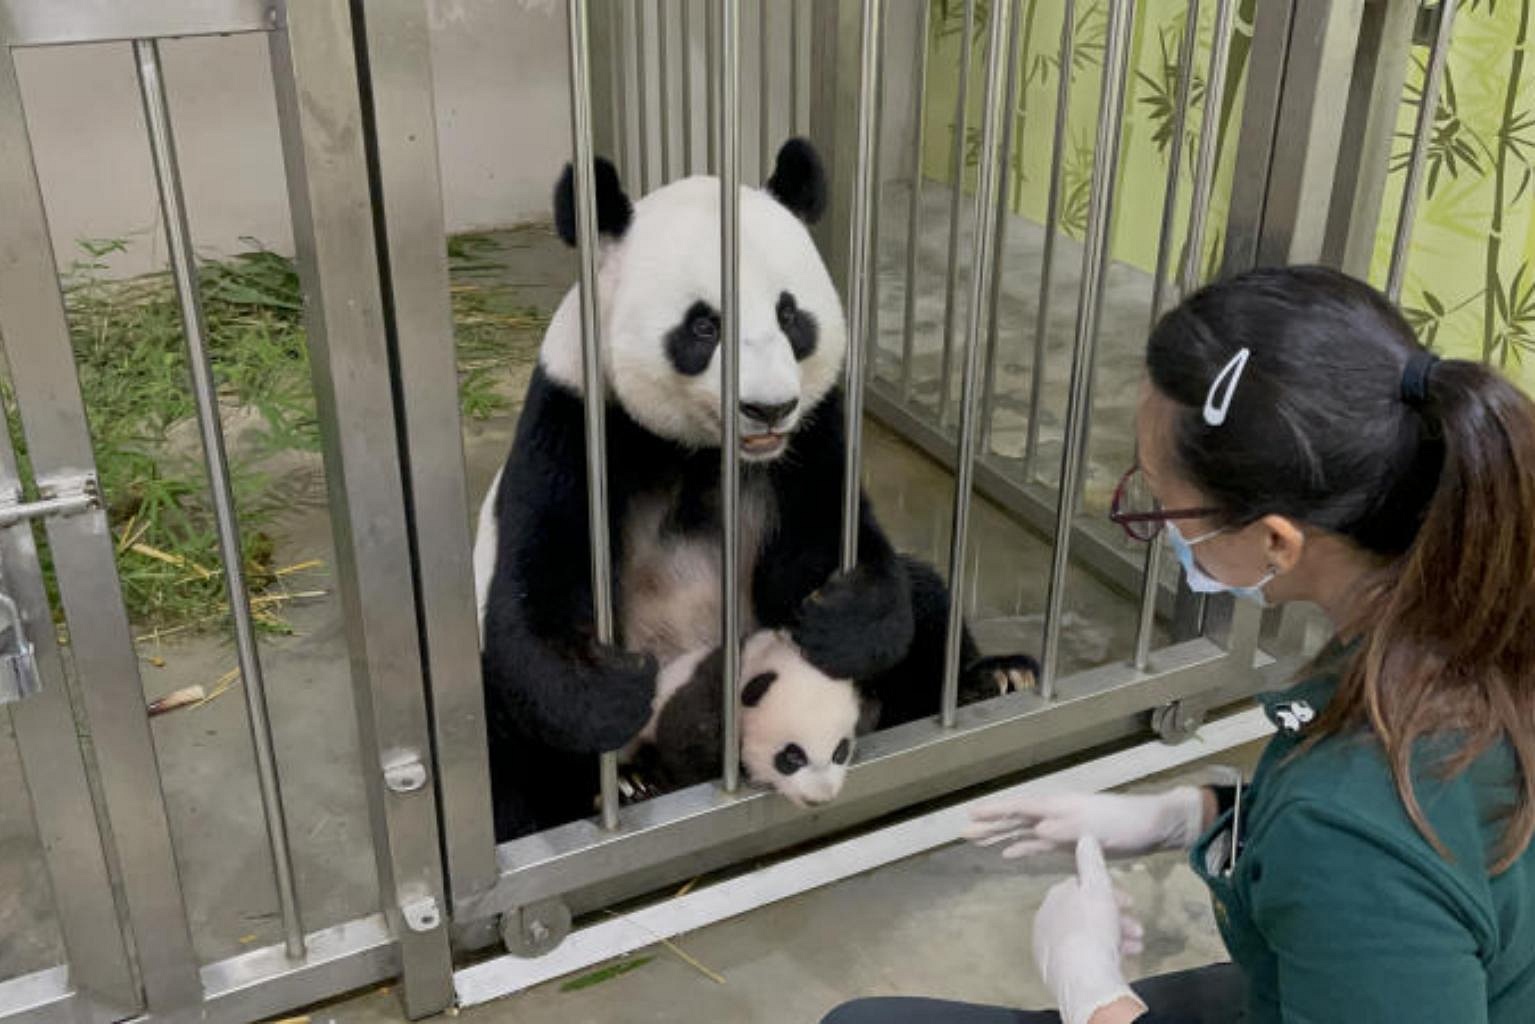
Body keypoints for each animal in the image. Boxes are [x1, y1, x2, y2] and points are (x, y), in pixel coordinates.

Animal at [472, 138, 1037, 841]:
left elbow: (833, 550)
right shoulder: (575, 424)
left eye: (790, 314)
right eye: (703, 326)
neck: (703, 450)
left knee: (925, 597)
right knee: (496, 729)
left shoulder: (810, 437)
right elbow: (536, 591)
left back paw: (997, 679)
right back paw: (607, 792)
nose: (768, 408)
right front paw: (610, 691)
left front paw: (837, 618)